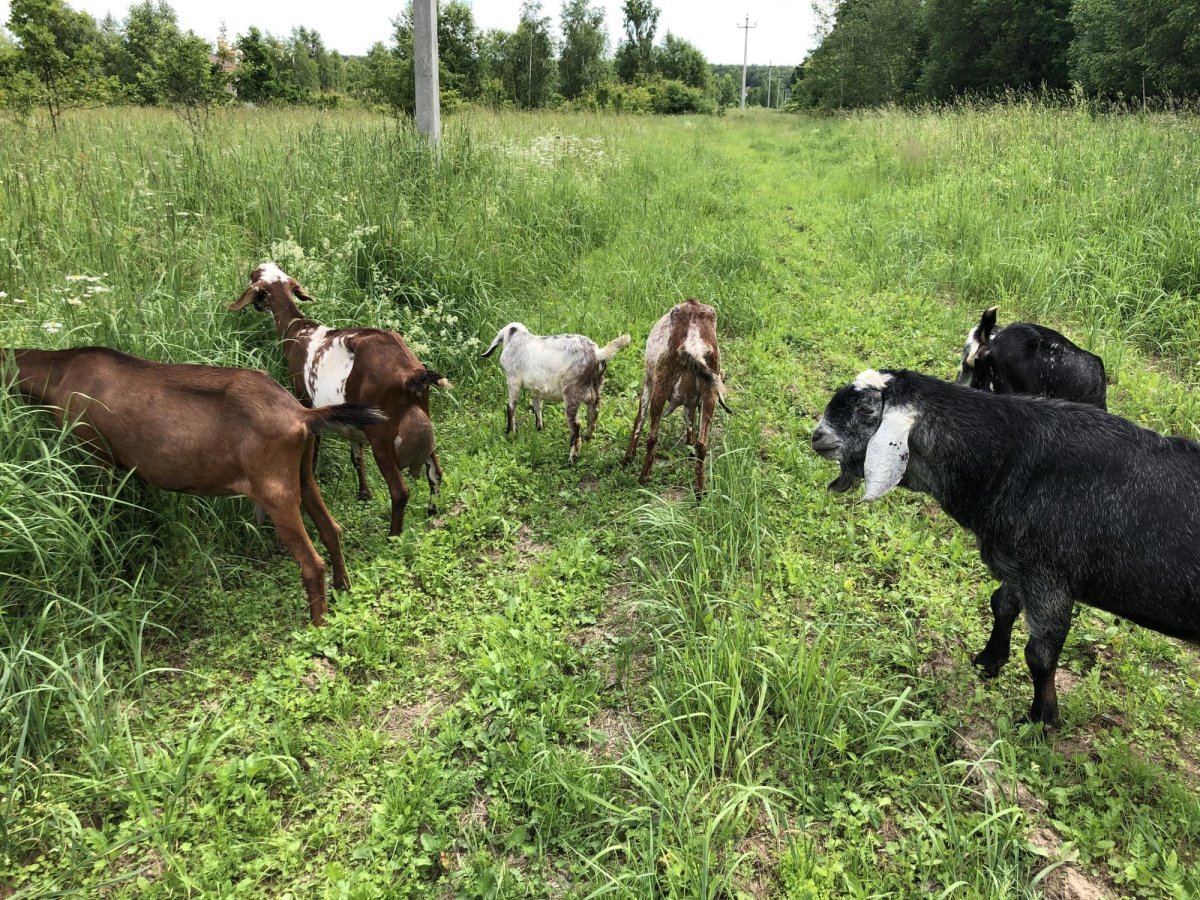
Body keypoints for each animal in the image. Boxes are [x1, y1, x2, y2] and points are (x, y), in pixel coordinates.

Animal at [3, 346, 385, 625]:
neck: (59, 371)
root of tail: (300, 415)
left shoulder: (96, 454)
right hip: (303, 474)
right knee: (332, 529)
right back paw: (344, 587)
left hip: (274, 488)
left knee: (311, 562)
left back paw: (317, 626)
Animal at [230, 263, 449, 537]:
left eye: (254, 277)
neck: (298, 330)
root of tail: (412, 373)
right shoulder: (354, 420)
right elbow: (356, 456)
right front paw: (364, 494)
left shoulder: (305, 402)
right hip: (422, 415)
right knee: (436, 472)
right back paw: (432, 511)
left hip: (382, 433)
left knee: (400, 491)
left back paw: (393, 536)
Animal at [481, 322, 630, 462]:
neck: (518, 337)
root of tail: (596, 353)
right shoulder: (536, 387)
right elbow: (537, 405)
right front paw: (539, 428)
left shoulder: (513, 381)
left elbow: (511, 407)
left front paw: (511, 433)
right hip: (597, 386)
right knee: (594, 412)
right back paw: (587, 437)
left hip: (571, 391)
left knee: (576, 424)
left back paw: (572, 456)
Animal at [622, 299, 730, 492]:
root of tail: (694, 343)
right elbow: (690, 422)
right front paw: (689, 447)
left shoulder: (648, 382)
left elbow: (639, 419)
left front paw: (628, 457)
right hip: (710, 393)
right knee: (702, 443)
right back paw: (700, 490)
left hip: (661, 386)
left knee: (652, 436)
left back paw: (643, 478)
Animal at [812, 368, 1200, 727]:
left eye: (866, 410)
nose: (817, 436)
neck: (1007, 458)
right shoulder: (1019, 565)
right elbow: (1001, 606)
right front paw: (988, 661)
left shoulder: (1049, 579)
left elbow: (1040, 654)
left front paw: (1042, 719)